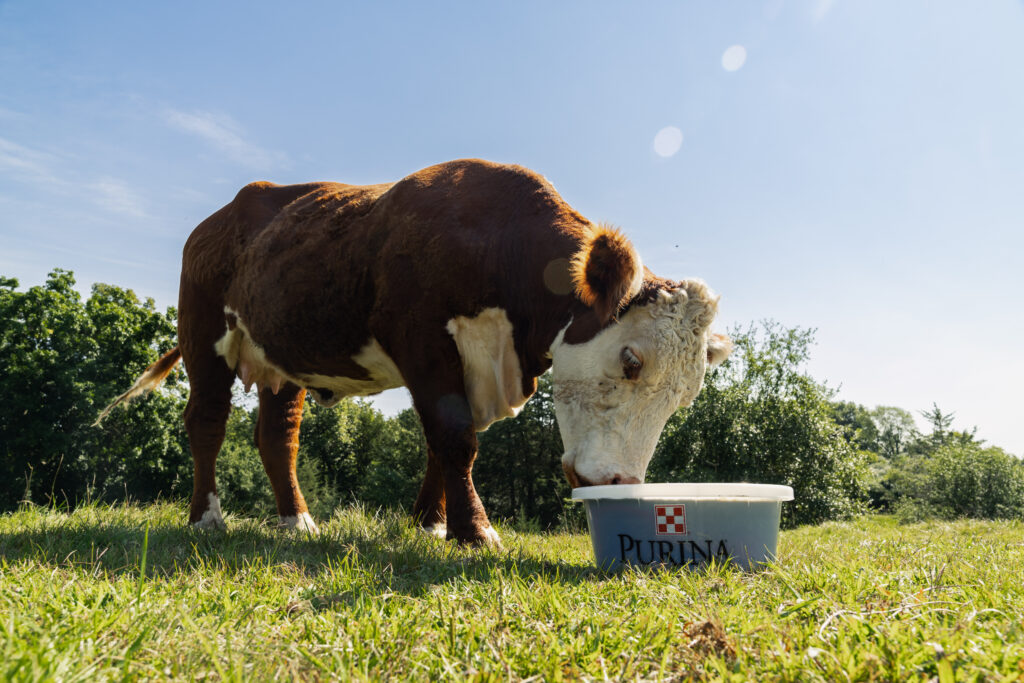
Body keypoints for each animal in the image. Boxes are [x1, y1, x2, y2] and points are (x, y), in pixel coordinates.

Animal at [96, 158, 733, 544]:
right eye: (631, 361)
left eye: (684, 399)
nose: (617, 481)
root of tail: (226, 213)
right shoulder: (422, 341)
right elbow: (455, 439)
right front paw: (475, 532)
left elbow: (440, 444)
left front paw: (432, 523)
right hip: (203, 332)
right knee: (206, 421)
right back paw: (206, 518)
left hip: (286, 355)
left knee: (277, 435)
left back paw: (296, 521)